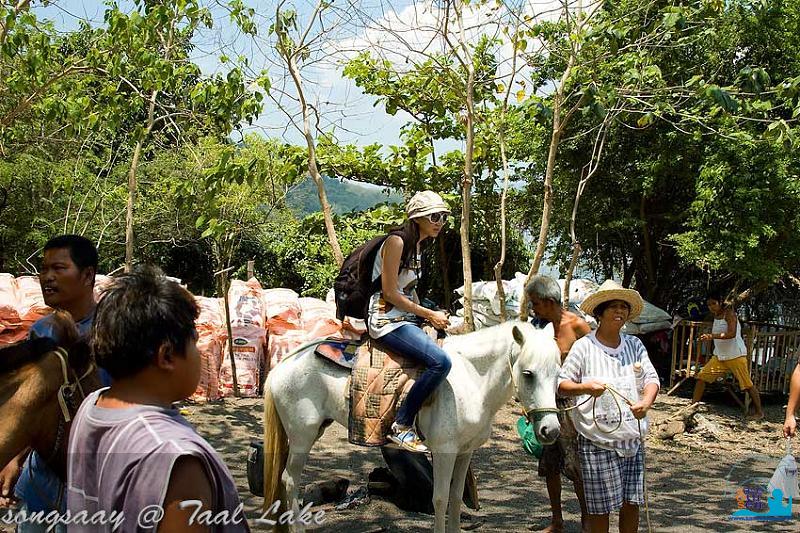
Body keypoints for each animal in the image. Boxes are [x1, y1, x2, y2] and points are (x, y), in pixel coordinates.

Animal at [262, 320, 564, 532]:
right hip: (302, 436)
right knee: (290, 480)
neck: (471, 378)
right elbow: (440, 498)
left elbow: (456, 498)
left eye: (558, 373)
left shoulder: (465, 452)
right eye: (528, 373)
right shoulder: (444, 452)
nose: (550, 430)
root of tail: (283, 364)